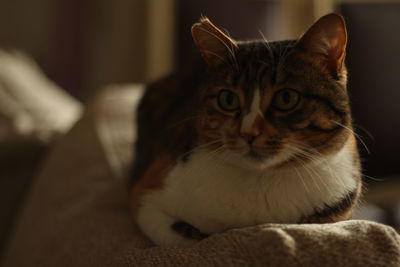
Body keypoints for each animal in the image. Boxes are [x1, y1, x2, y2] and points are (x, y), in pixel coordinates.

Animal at [130, 13, 362, 247]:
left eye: (287, 98)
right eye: (227, 99)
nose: (248, 133)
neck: (263, 180)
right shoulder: (148, 195)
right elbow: (186, 239)